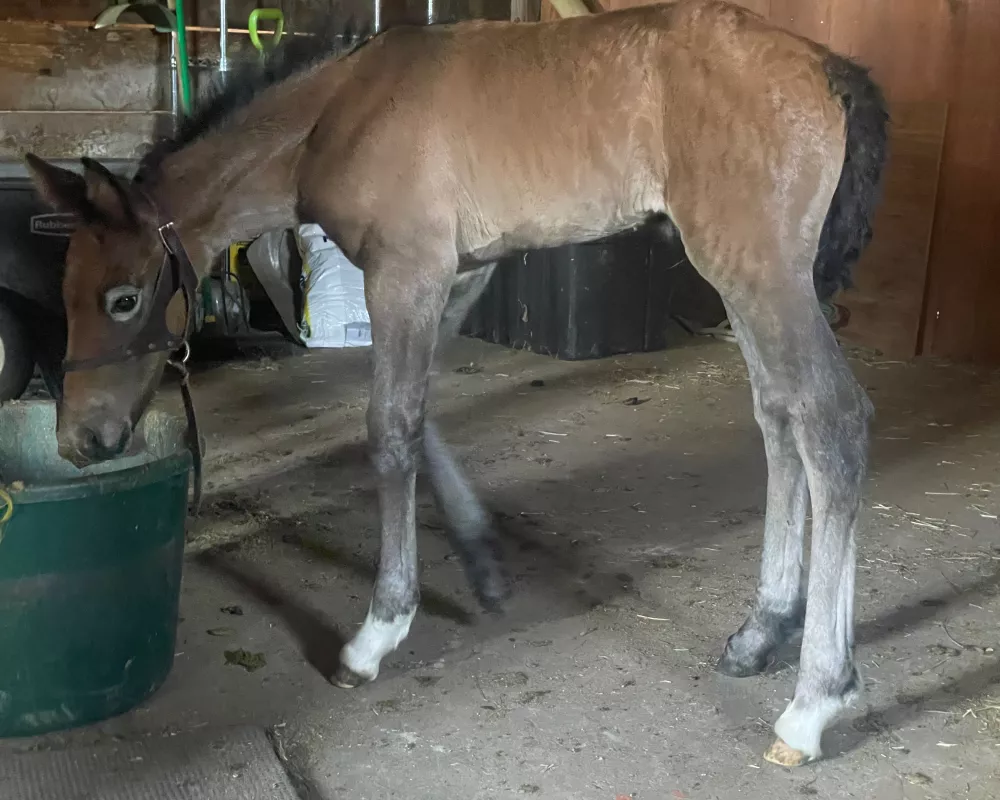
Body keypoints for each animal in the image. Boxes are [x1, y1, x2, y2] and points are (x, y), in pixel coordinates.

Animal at [23, 0, 888, 764]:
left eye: (123, 298)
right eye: (64, 285)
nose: (80, 438)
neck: (335, 113)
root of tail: (826, 65)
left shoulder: (404, 273)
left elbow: (388, 428)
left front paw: (376, 633)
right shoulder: (462, 271)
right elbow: (422, 414)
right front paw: (482, 564)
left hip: (754, 267)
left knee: (831, 420)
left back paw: (816, 700)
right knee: (778, 416)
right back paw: (762, 629)